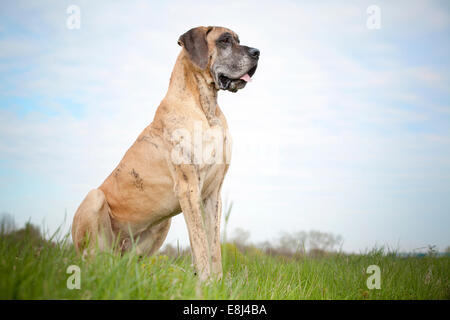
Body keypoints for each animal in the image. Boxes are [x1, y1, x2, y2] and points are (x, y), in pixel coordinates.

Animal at [71, 25, 258, 280]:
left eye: (238, 39)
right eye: (225, 40)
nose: (257, 52)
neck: (206, 108)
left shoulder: (213, 193)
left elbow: (214, 246)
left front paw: (218, 281)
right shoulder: (189, 187)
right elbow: (200, 242)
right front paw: (205, 282)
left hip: (160, 225)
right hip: (94, 199)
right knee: (92, 261)